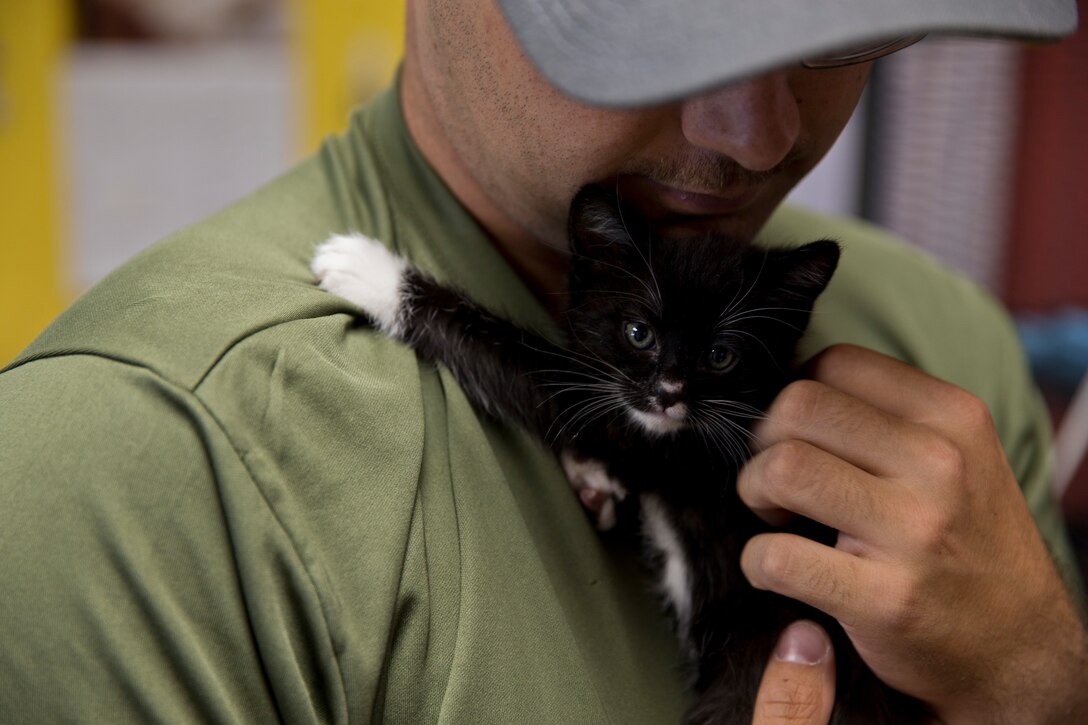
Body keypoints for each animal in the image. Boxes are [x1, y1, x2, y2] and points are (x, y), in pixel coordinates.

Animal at [313, 187, 926, 722]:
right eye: (638, 333)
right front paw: (592, 480)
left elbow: (526, 363)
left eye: (720, 356)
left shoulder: (673, 448)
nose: (669, 391)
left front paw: (373, 272)